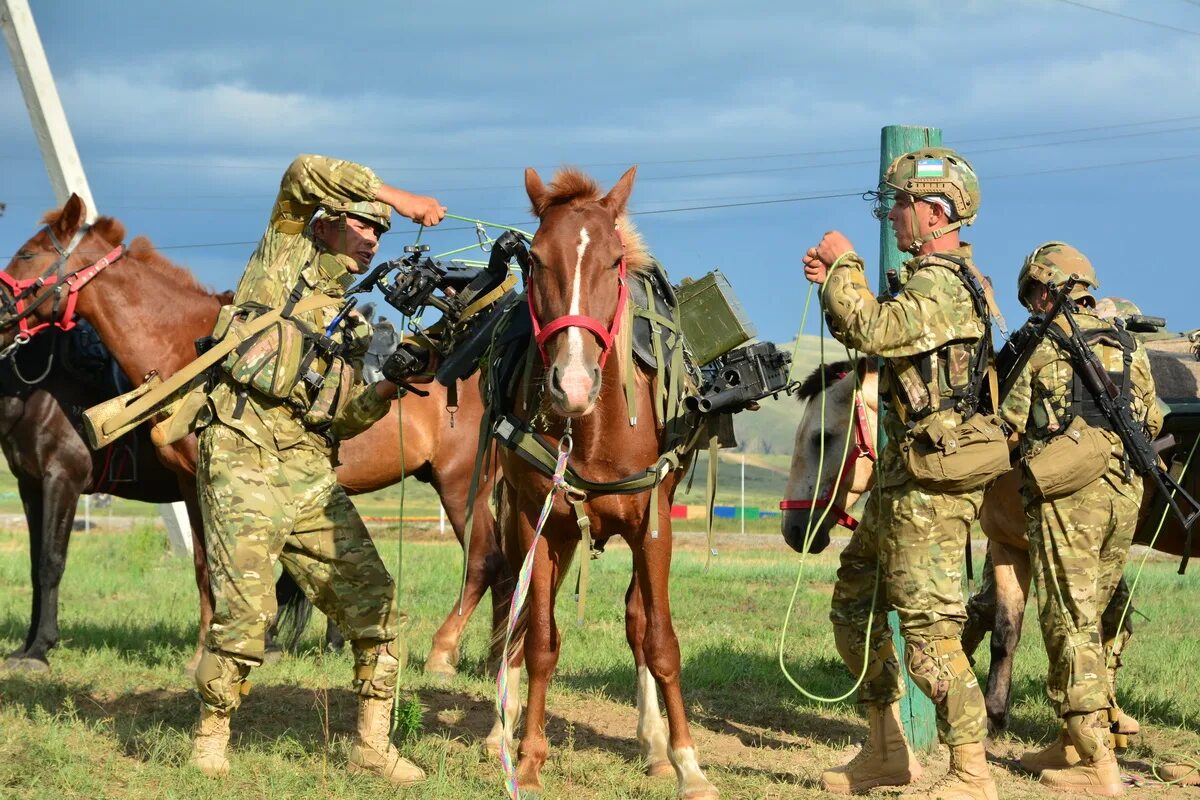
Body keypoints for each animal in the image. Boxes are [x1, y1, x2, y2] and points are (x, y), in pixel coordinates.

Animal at [0, 194, 508, 676]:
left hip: (459, 483)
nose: (1, 312)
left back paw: (445, 653)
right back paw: (495, 660)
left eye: (26, 254)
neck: (181, 345)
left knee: (484, 559)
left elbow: (195, 569)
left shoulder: (92, 479)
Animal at [489, 165, 715, 796]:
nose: (572, 384)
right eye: (535, 259)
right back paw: (500, 729)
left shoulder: (655, 527)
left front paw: (687, 763)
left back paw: (655, 744)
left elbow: (659, 641)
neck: (593, 431)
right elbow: (540, 642)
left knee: (637, 623)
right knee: (514, 617)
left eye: (614, 261)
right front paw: (530, 757)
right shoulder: (538, 525)